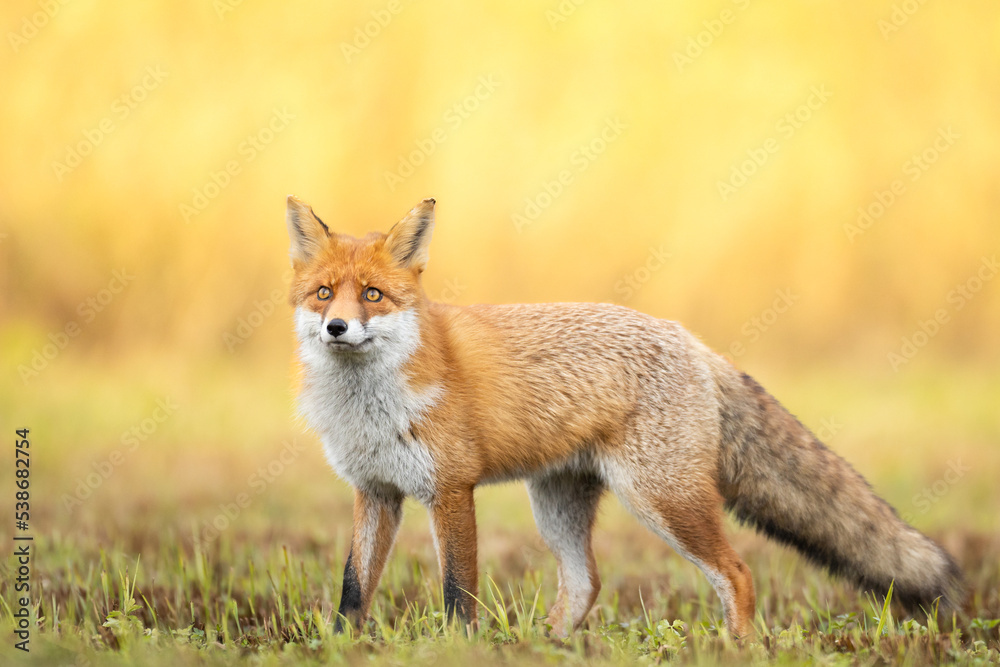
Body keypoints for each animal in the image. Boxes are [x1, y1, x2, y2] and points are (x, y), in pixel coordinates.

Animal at [288, 196, 960, 640]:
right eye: (323, 294)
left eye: (372, 295)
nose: (337, 327)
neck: (370, 404)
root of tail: (691, 341)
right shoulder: (376, 491)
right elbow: (353, 589)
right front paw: (342, 650)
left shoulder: (450, 489)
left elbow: (457, 594)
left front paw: (458, 651)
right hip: (558, 501)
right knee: (585, 583)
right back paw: (544, 648)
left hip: (662, 497)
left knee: (738, 573)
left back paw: (737, 650)